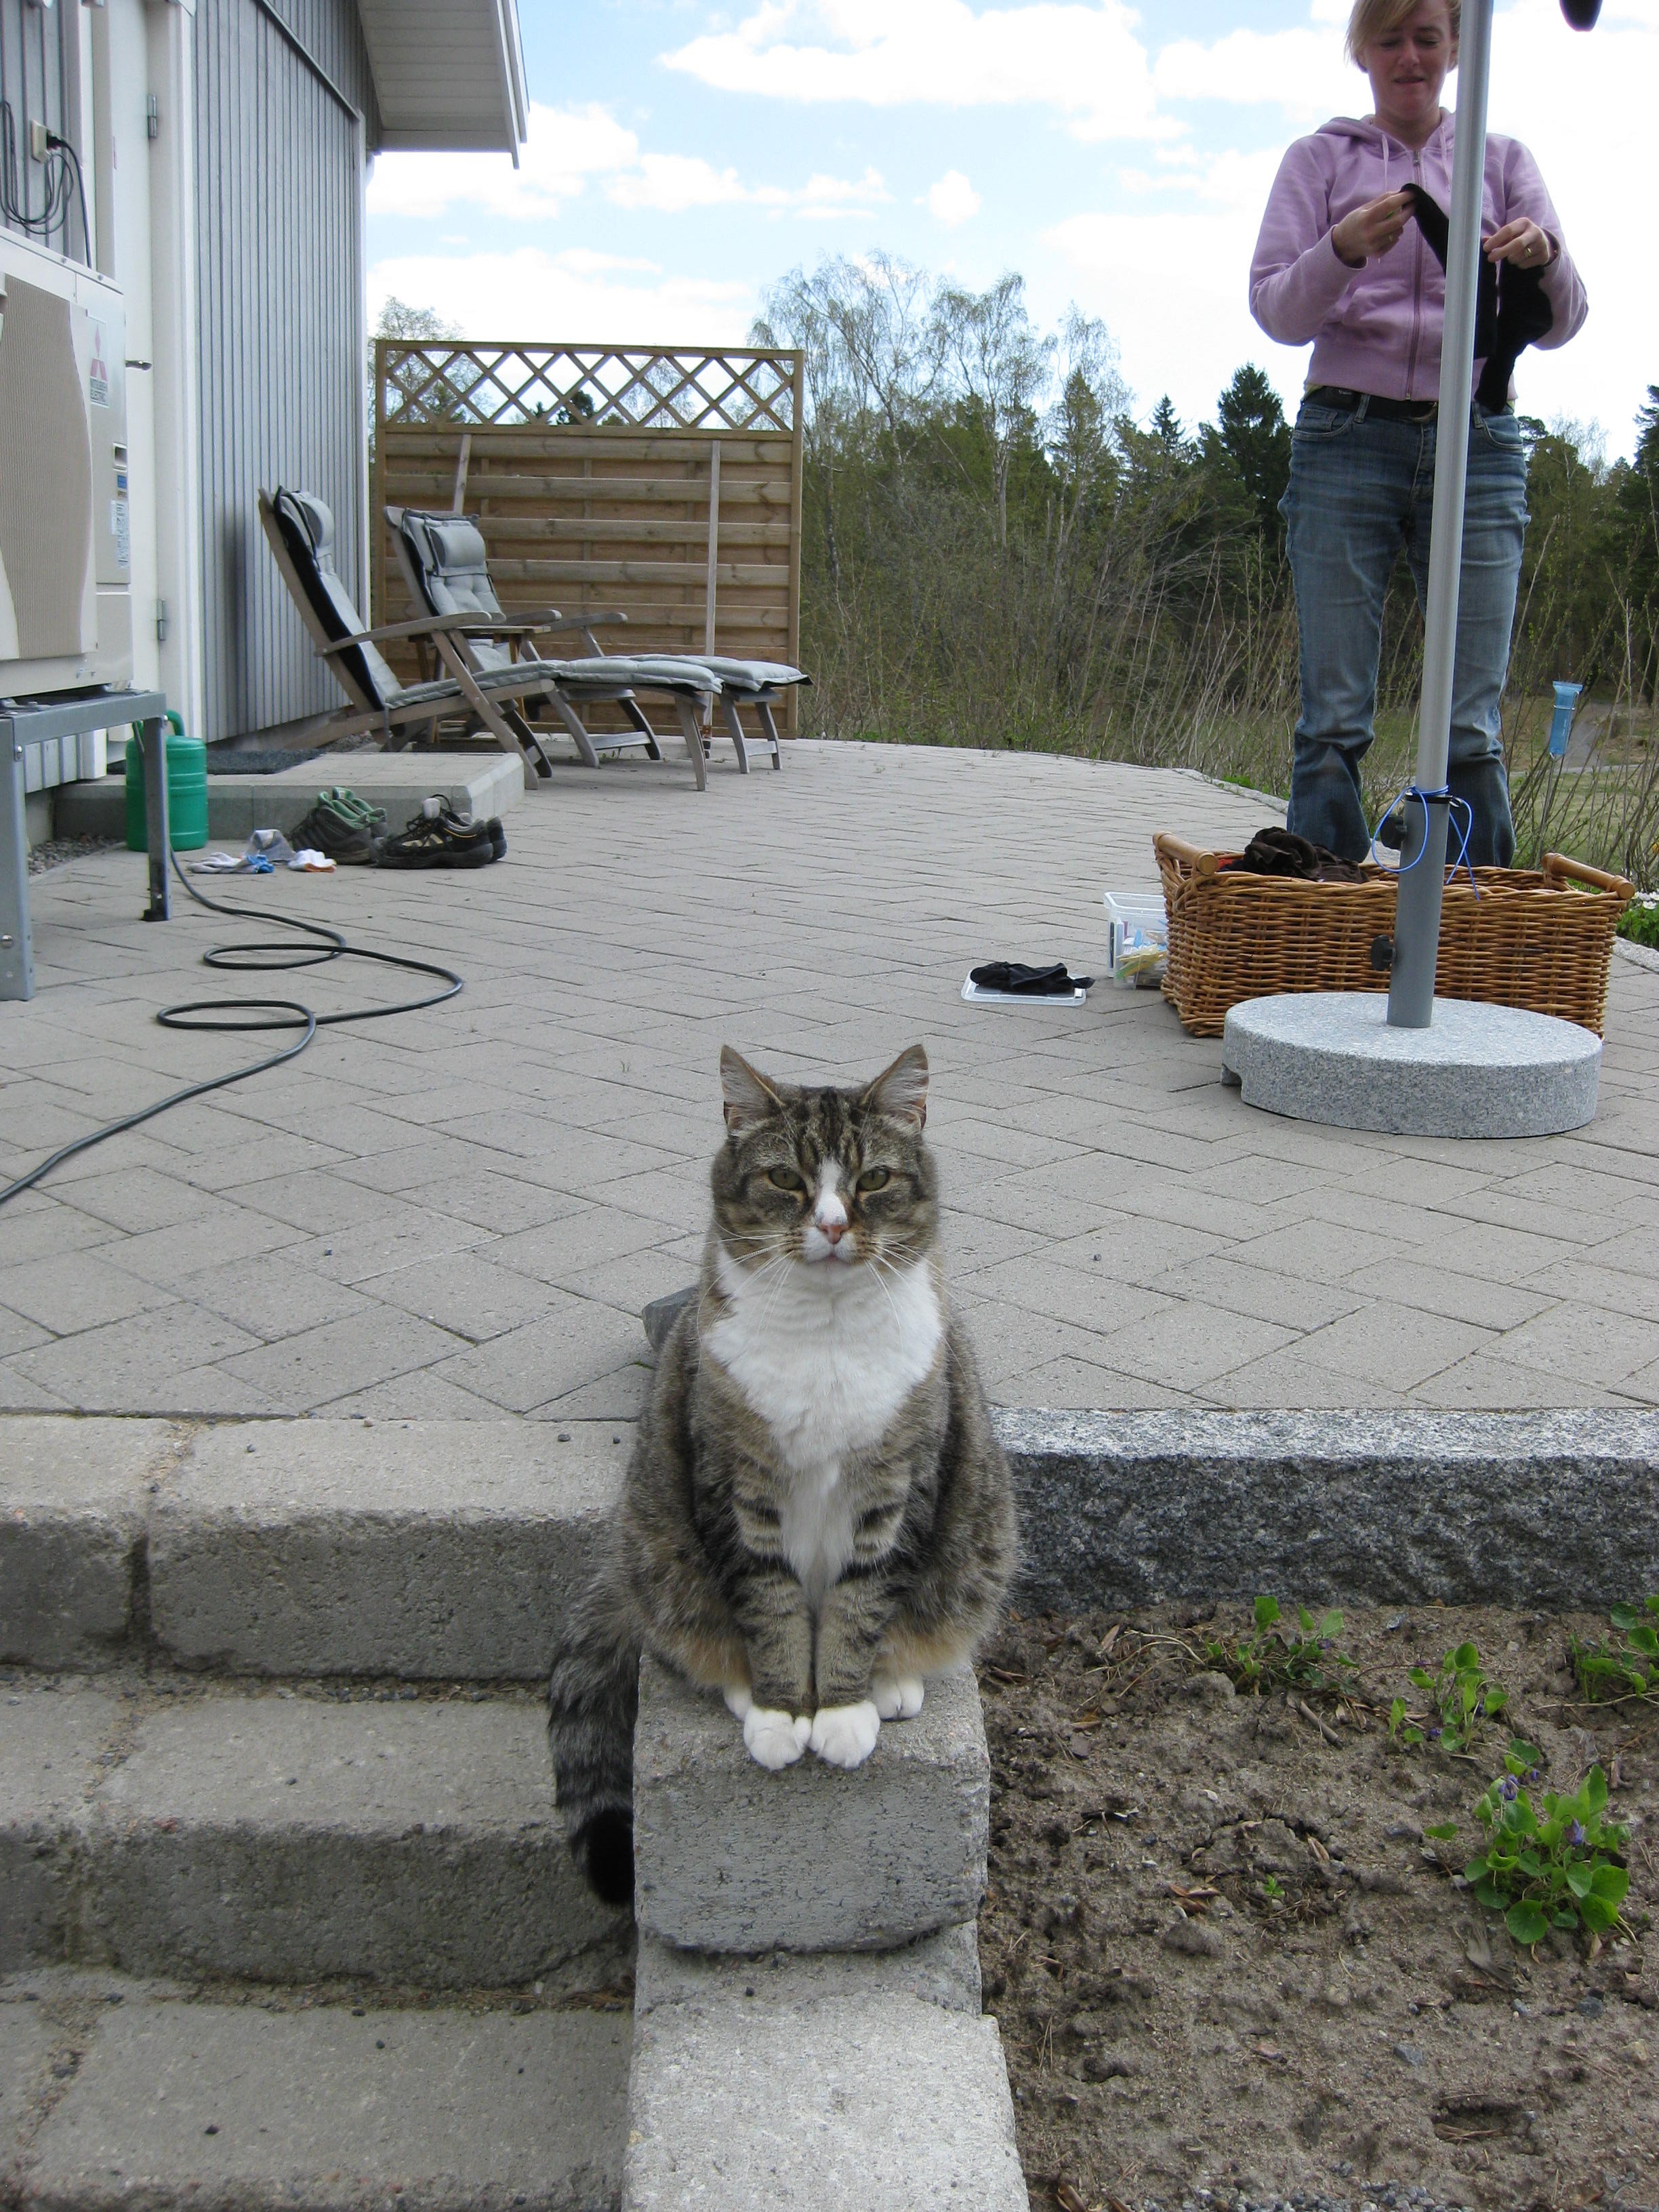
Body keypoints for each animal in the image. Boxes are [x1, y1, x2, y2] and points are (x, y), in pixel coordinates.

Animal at [547, 1042, 1018, 1906]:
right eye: (785, 1180)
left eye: (873, 1179)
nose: (831, 1225)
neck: (825, 1337)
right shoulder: (734, 1487)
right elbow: (769, 1603)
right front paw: (780, 1710)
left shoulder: (897, 1486)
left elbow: (860, 1604)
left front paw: (840, 1709)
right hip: (657, 1547)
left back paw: (893, 1684)